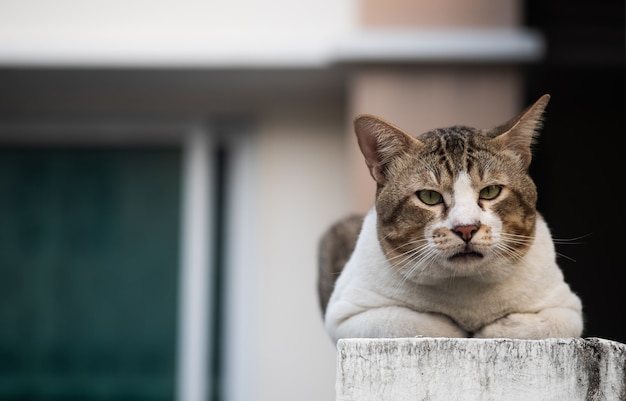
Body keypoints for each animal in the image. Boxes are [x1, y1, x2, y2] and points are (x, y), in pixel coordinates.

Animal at [320, 94, 584, 344]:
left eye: (491, 191)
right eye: (429, 196)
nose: (466, 228)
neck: (465, 289)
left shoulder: (567, 308)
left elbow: (545, 325)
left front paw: (488, 330)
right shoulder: (347, 314)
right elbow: (411, 324)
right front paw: (456, 328)